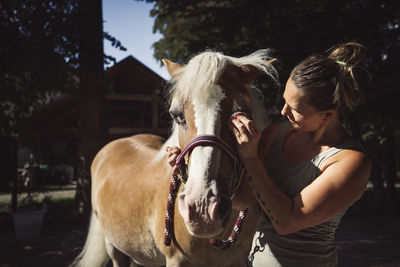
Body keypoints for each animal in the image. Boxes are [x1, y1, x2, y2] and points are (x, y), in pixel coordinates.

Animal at [72, 49, 278, 266]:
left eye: (241, 112)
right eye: (176, 115)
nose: (202, 207)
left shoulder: (238, 259)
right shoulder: (176, 260)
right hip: (113, 245)